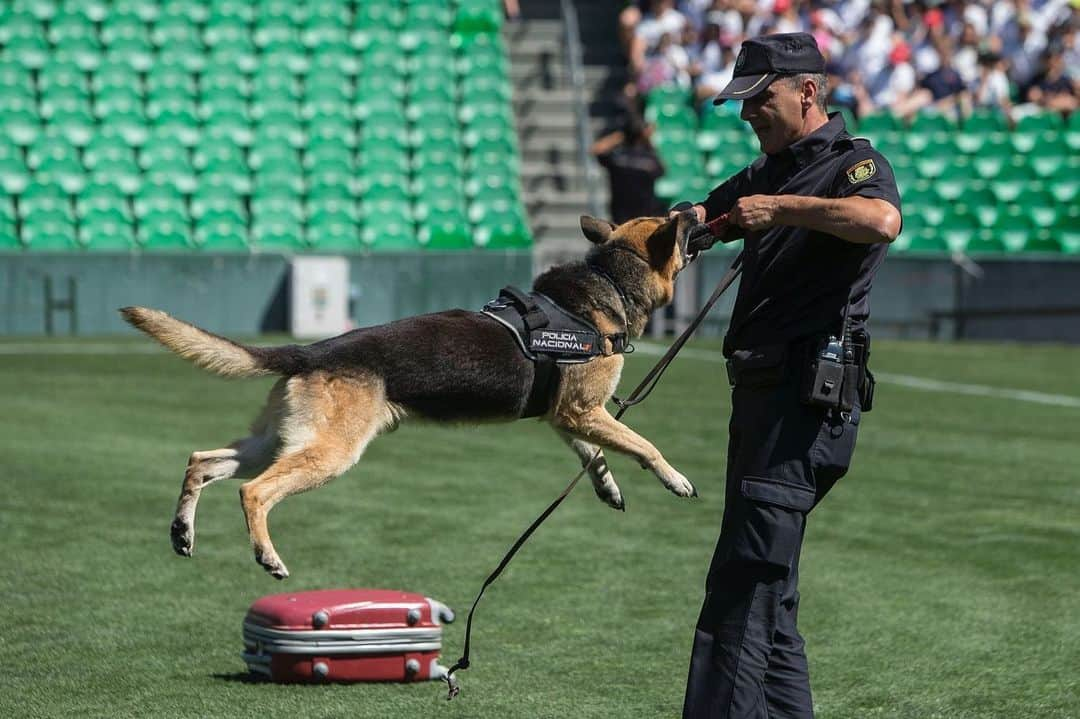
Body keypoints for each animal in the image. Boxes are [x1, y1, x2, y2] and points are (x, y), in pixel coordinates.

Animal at [120, 208, 699, 578]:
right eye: (678, 222)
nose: (694, 207)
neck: (610, 281)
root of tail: (310, 352)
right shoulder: (584, 411)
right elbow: (644, 445)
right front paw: (676, 479)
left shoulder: (568, 416)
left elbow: (595, 453)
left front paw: (608, 487)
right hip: (328, 454)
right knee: (253, 492)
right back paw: (267, 556)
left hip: (276, 441)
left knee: (201, 460)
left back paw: (182, 531)